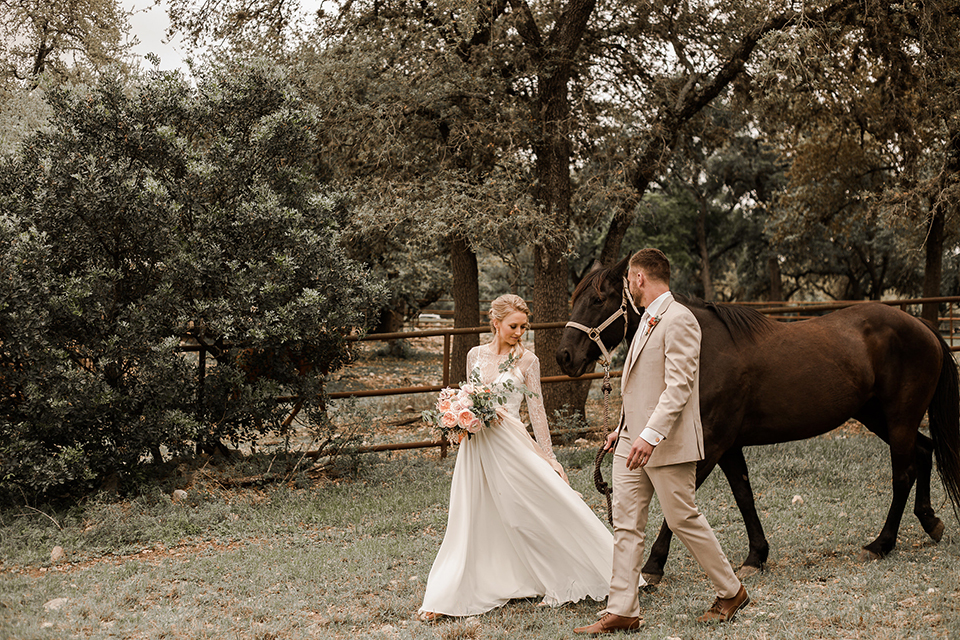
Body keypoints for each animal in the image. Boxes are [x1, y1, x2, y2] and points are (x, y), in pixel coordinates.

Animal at [556, 256, 960, 584]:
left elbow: (680, 506)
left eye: (597, 300)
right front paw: (756, 556)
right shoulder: (728, 445)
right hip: (880, 417)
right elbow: (744, 494)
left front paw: (654, 566)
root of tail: (921, 325)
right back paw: (930, 522)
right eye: (575, 298)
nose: (564, 356)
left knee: (903, 474)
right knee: (924, 452)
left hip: (899, 418)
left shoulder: (712, 443)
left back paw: (881, 544)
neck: (705, 348)